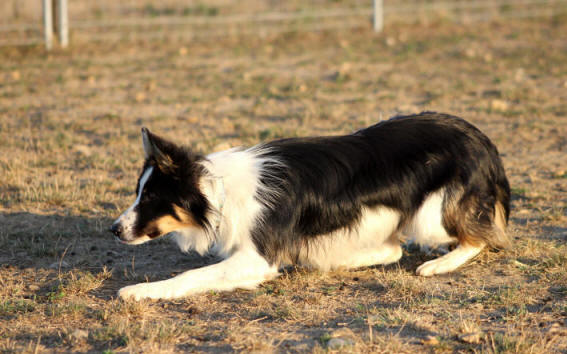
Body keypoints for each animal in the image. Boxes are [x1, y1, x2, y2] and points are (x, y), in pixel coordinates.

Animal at [111, 112, 510, 300]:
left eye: (151, 198)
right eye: (137, 192)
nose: (113, 230)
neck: (218, 192)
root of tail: (484, 141)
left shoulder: (257, 257)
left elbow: (192, 275)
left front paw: (140, 292)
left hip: (429, 216)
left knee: (482, 239)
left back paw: (439, 265)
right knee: (392, 249)